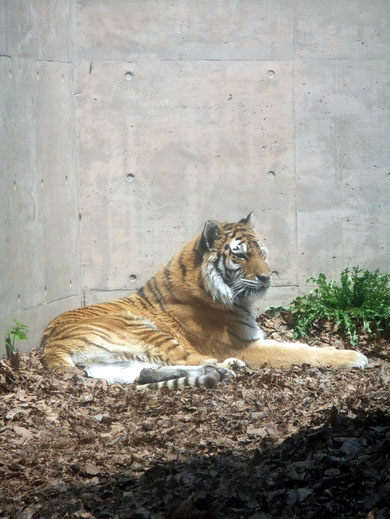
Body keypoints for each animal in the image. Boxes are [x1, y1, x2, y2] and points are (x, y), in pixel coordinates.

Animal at [41, 212, 368, 390]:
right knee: (194, 359)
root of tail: (49, 345)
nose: (267, 277)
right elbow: (297, 351)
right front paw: (352, 356)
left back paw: (220, 370)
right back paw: (227, 367)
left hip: (115, 365)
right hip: (143, 331)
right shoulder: (243, 345)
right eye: (241, 255)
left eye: (261, 252)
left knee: (147, 371)